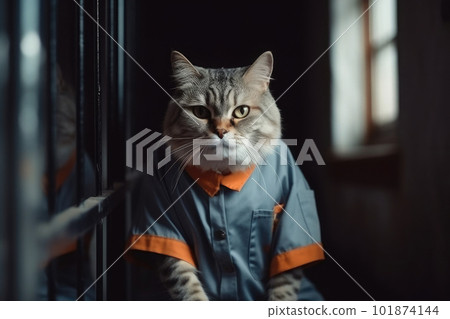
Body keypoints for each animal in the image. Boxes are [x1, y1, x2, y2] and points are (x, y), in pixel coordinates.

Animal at [128, 51, 326, 302]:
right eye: (200, 112)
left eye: (241, 111)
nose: (221, 131)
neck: (222, 176)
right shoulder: (162, 221)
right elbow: (187, 287)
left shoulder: (292, 210)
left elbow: (283, 289)